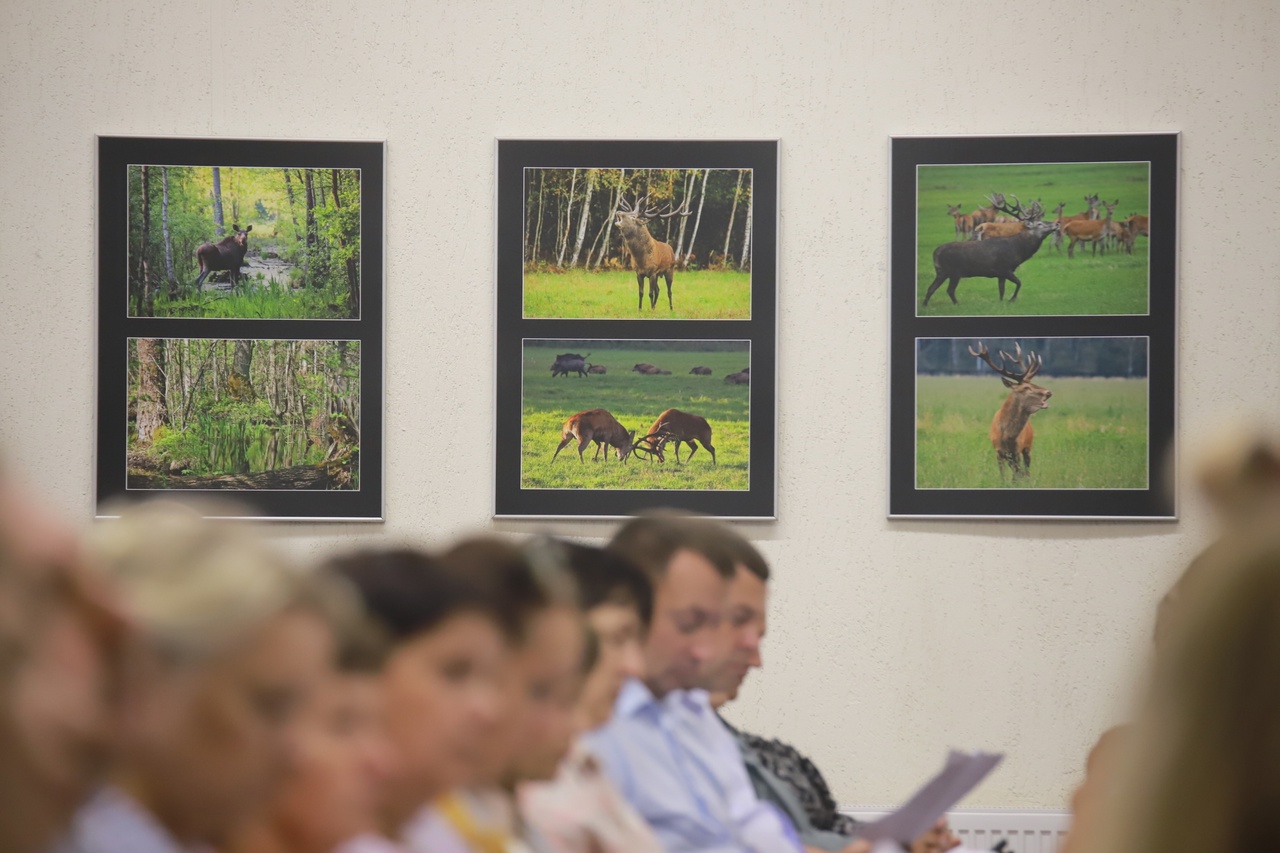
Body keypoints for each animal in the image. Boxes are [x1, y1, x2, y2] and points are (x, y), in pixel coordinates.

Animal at [921, 193, 1059, 306]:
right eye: (1040, 223)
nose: (1057, 224)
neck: (1018, 250)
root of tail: (935, 253)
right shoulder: (1005, 268)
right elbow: (1019, 283)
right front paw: (1012, 299)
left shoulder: (1001, 273)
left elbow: (1001, 290)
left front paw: (1001, 302)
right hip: (954, 272)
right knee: (949, 290)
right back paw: (957, 304)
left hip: (942, 272)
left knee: (931, 288)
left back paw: (925, 305)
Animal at [967, 340, 1049, 479]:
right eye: (1026, 388)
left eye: (1032, 384)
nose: (1048, 392)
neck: (1007, 436)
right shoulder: (999, 452)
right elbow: (1004, 476)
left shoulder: (1017, 450)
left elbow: (1017, 475)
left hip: (1028, 447)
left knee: (1026, 471)